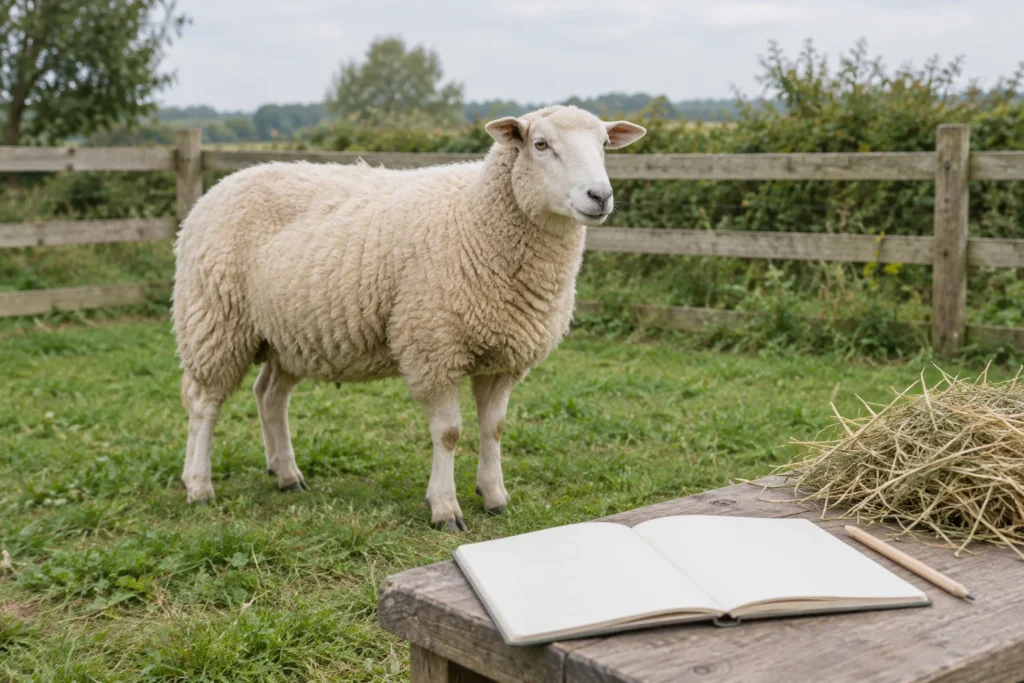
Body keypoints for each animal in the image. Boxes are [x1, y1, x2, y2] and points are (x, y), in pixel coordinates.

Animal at [172, 105, 646, 531]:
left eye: (604, 145)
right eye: (541, 144)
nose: (600, 197)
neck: (475, 218)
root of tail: (219, 187)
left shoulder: (504, 358)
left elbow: (494, 428)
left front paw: (495, 497)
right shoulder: (434, 345)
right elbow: (450, 433)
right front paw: (445, 509)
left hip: (287, 334)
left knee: (270, 396)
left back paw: (287, 476)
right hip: (214, 320)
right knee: (204, 404)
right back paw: (198, 485)